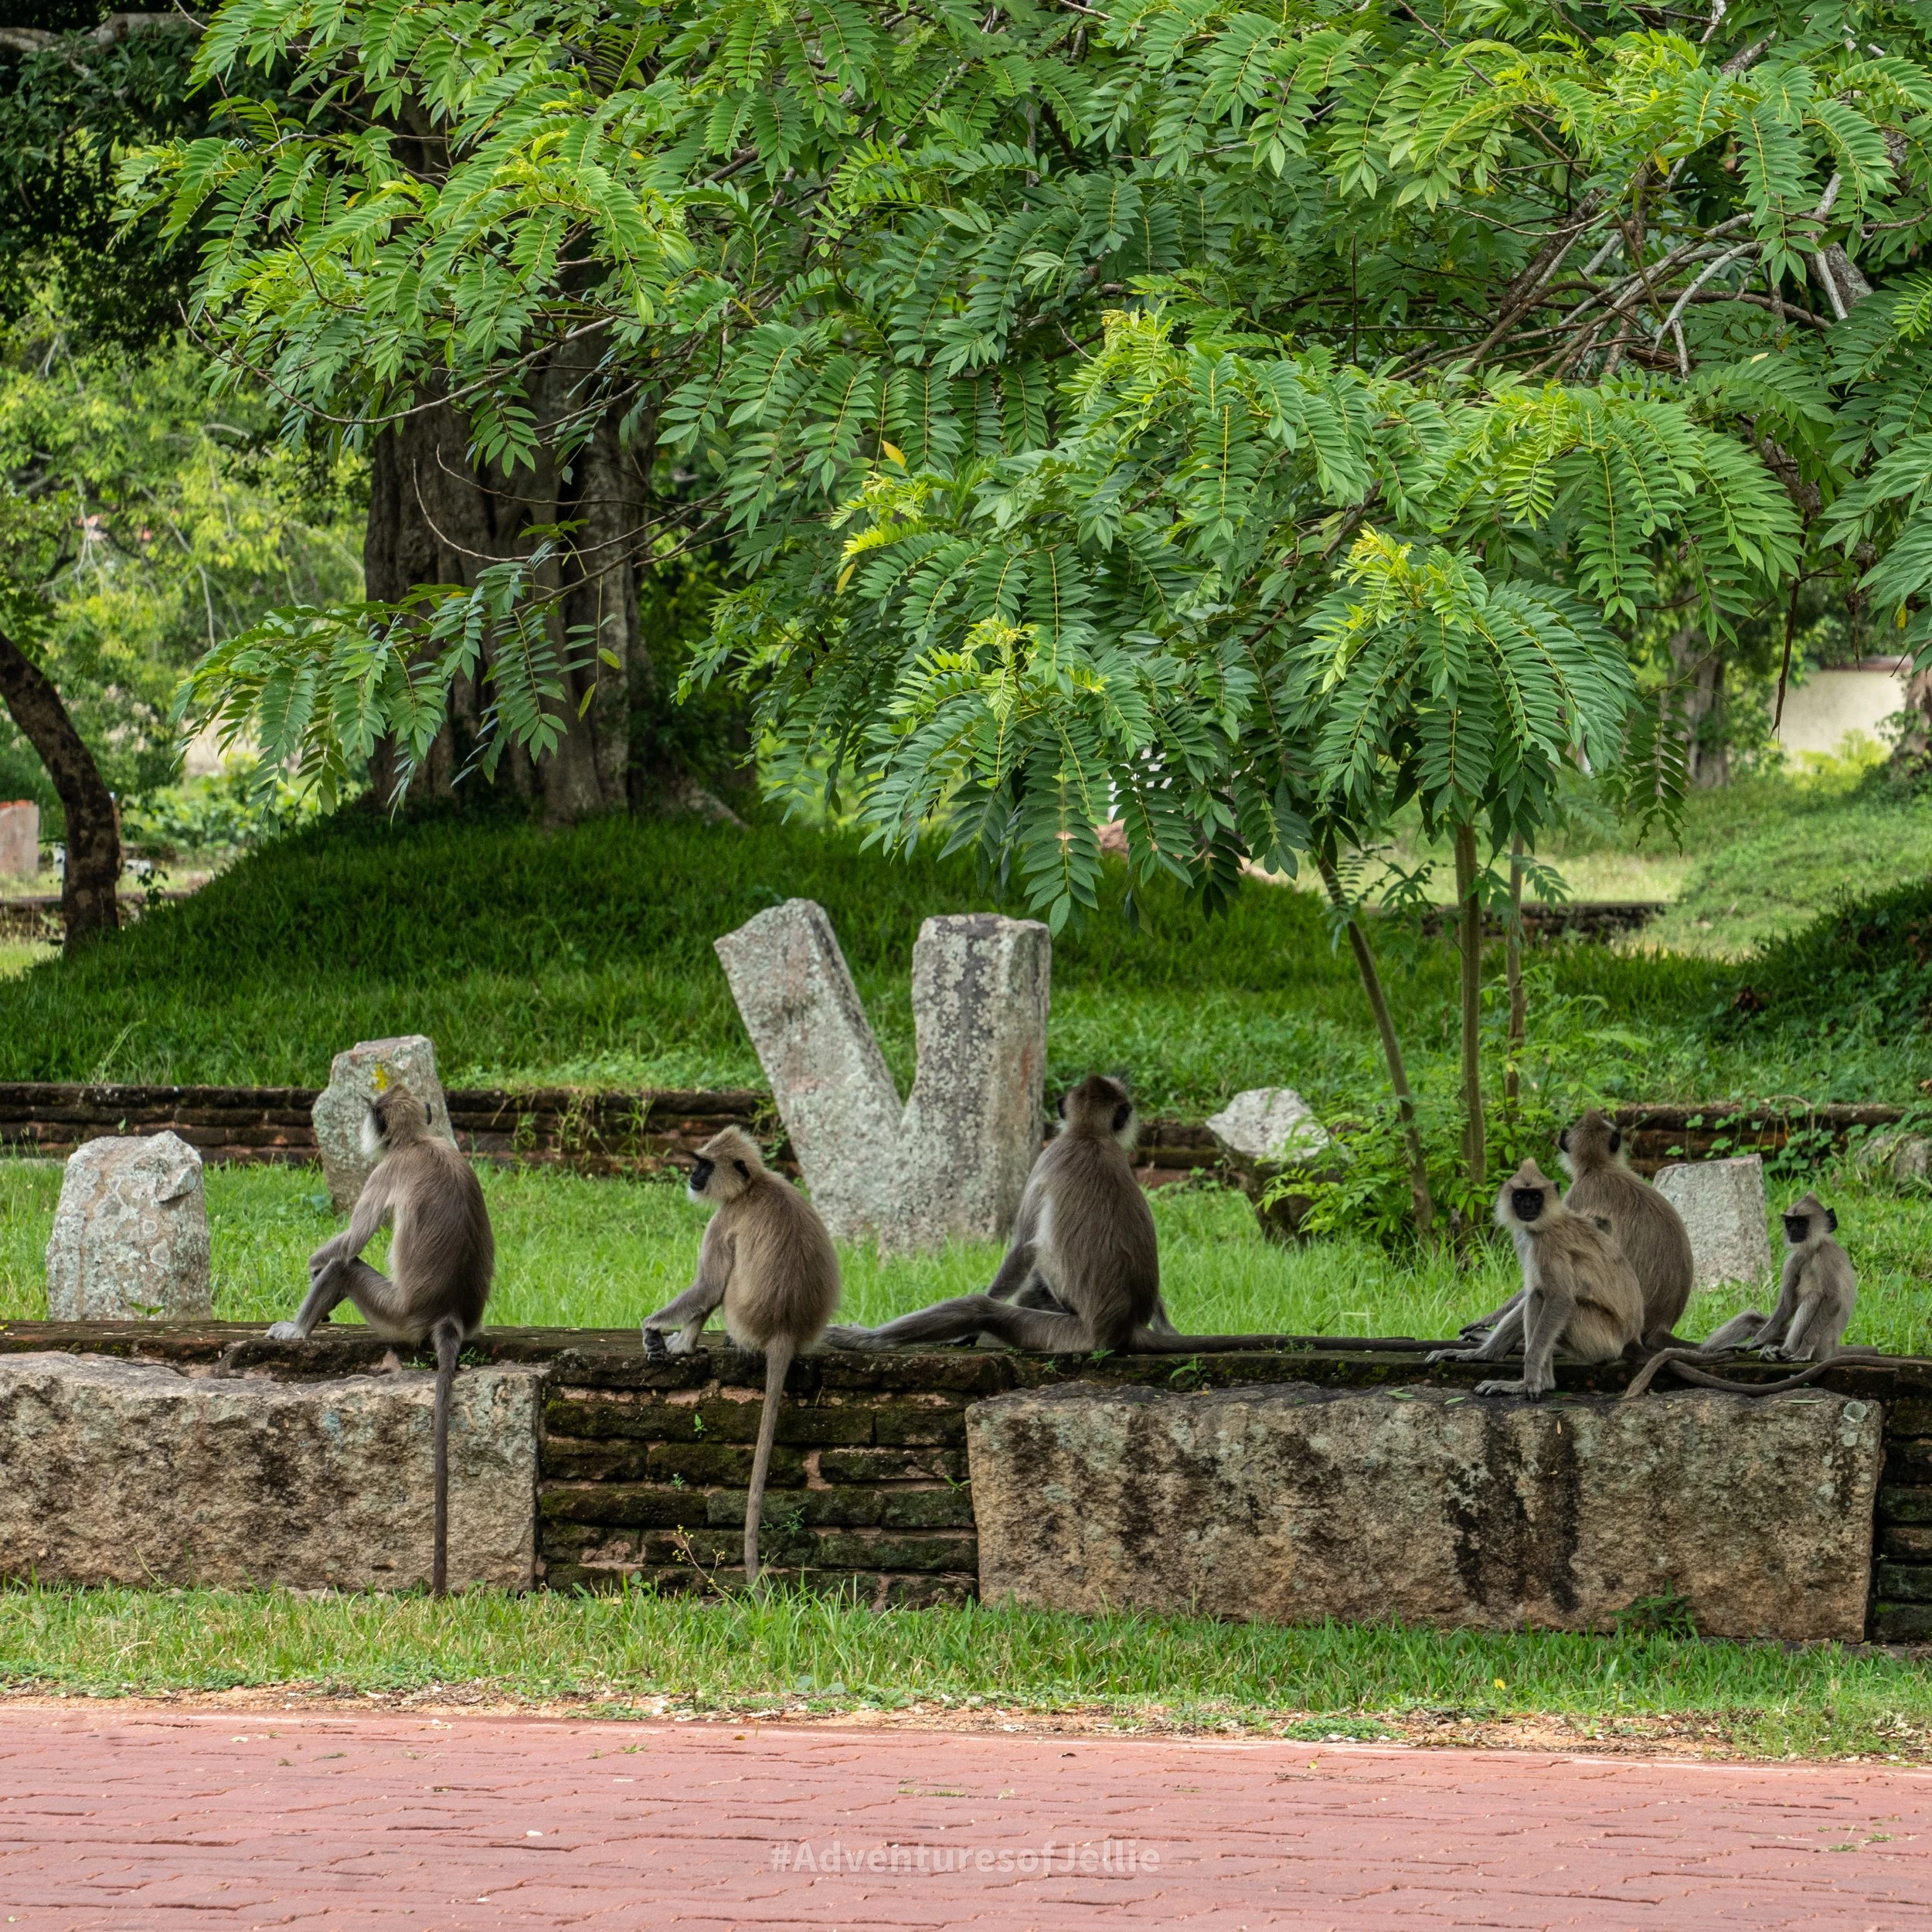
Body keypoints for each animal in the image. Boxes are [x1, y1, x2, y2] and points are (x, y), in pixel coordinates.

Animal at [268, 1088, 494, 1597]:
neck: (419, 1141)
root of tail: (448, 1315)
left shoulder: (385, 1171)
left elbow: (350, 1241)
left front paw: (314, 1266)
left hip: (395, 1315)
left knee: (346, 1266)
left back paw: (300, 1327)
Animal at [639, 1126, 840, 1585]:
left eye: (704, 1165)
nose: (693, 1175)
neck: (754, 1186)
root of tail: (785, 1331)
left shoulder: (724, 1219)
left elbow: (709, 1286)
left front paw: (654, 1329)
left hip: (742, 1313)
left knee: (720, 1285)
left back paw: (685, 1343)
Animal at [824, 1074, 1274, 1356]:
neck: (1089, 1135)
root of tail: (1123, 1326)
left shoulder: (1046, 1158)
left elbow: (1023, 1247)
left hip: (1064, 1334)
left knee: (983, 1305)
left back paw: (862, 1340)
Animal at [1427, 1159, 1644, 1399]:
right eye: (1520, 1196)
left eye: (1536, 1197)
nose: (1528, 1207)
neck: (1546, 1221)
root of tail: (1632, 1338)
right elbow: (1533, 1290)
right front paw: (1482, 1346)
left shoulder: (1546, 1244)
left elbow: (1560, 1298)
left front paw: (1529, 1381)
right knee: (1535, 1296)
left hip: (1600, 1339)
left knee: (1543, 1298)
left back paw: (1536, 1383)